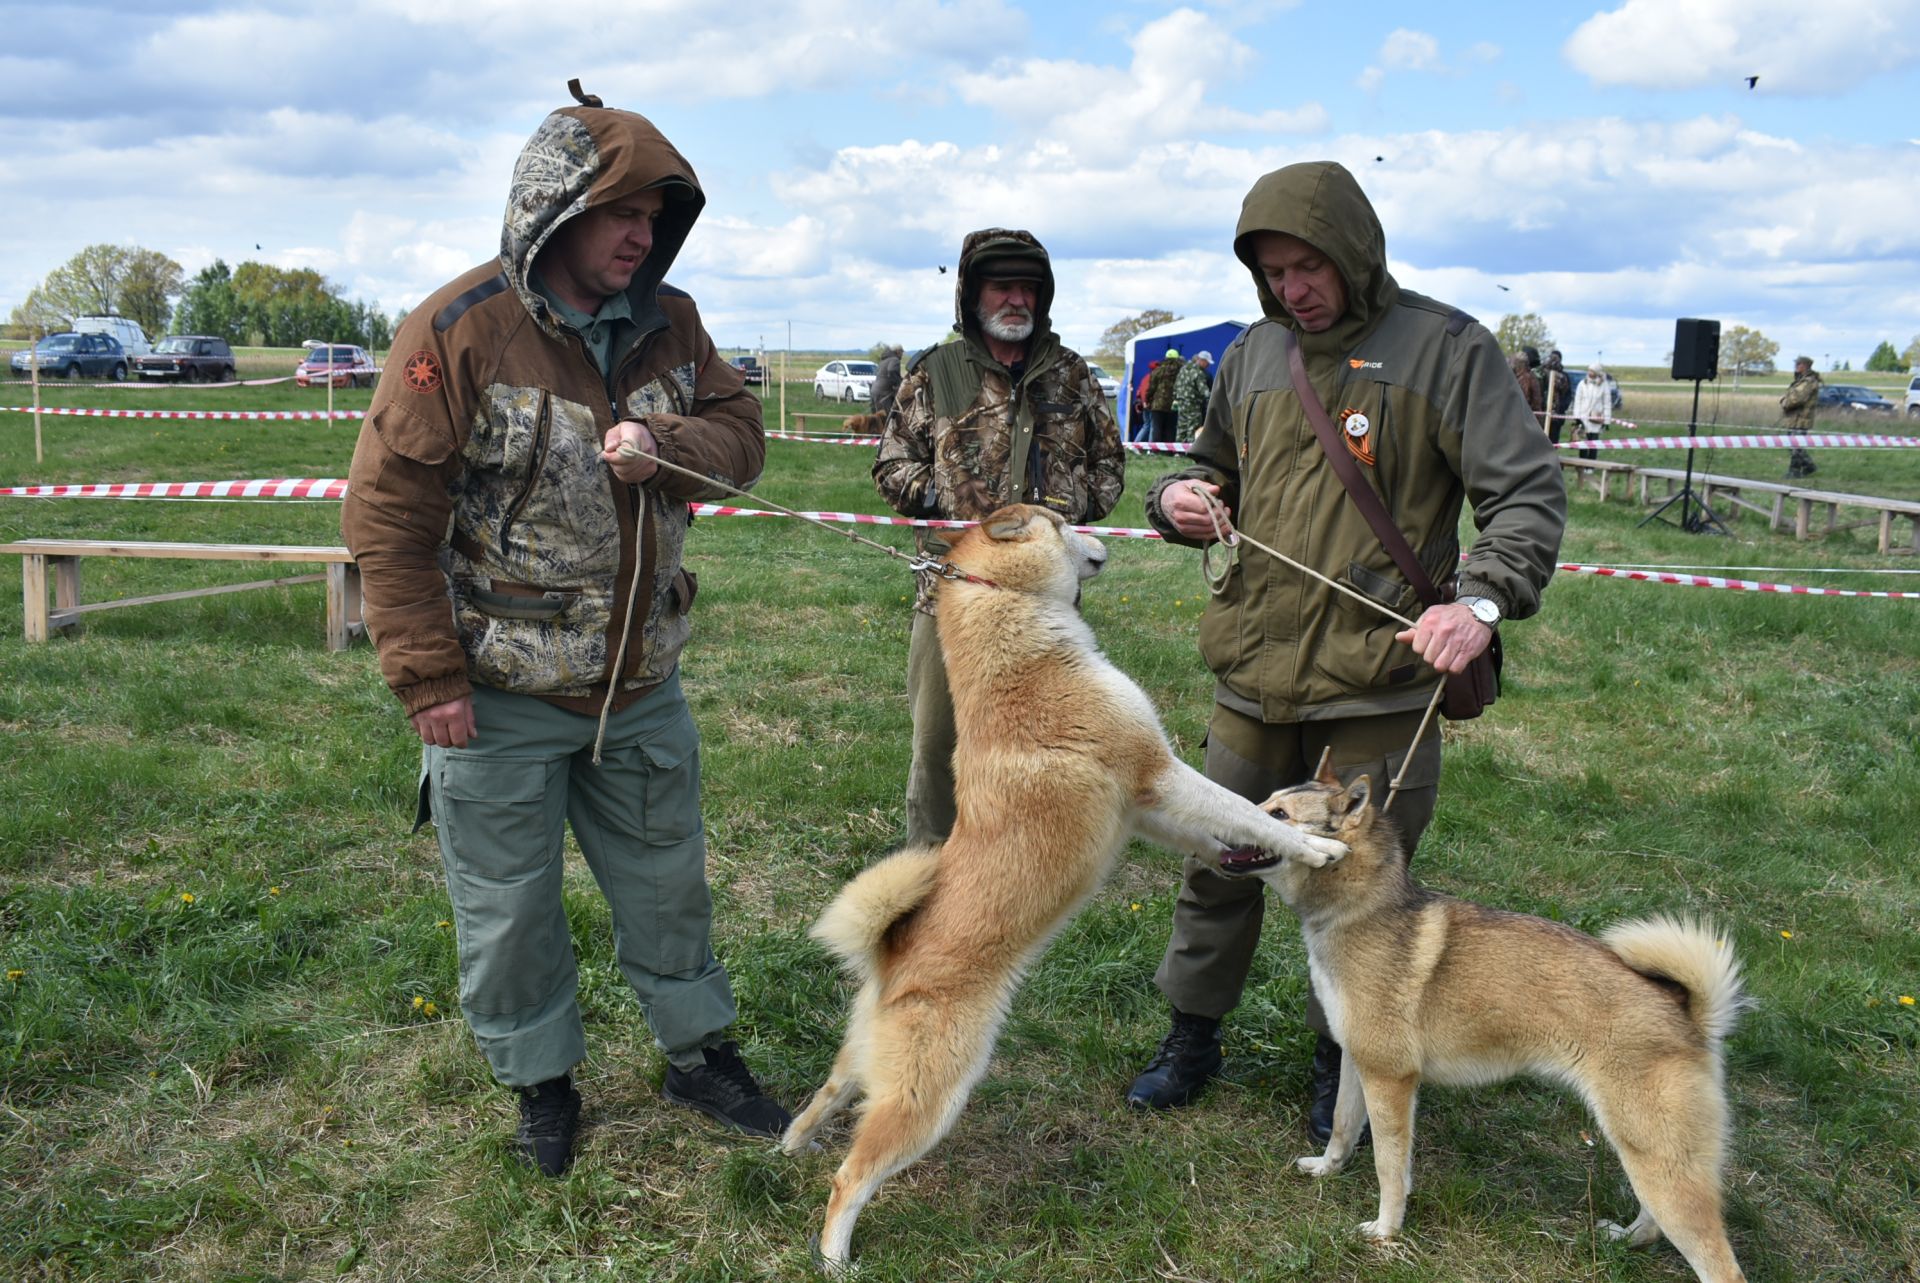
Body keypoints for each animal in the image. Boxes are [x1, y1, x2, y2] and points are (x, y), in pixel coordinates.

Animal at [783, 507, 1351, 1267]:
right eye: (1059, 520)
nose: (1099, 530)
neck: (1022, 647)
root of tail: (891, 953)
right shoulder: (1159, 772)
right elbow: (1240, 807)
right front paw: (1314, 845)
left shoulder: (1145, 805)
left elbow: (1219, 829)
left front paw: (1252, 857)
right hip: (932, 1093)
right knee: (852, 1176)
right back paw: (835, 1256)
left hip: (865, 1059)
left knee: (828, 1093)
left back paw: (792, 1142)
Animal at [1228, 752, 1758, 1283]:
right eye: (1267, 800)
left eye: (1279, 814)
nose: (1228, 808)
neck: (1360, 911)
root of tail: (1687, 1014)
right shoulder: (1359, 1064)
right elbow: (1341, 1125)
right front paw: (1327, 1170)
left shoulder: (1391, 1080)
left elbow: (1389, 1165)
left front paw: (1386, 1231)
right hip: (1646, 1153)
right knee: (1652, 1221)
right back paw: (1625, 1240)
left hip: (1659, 1161)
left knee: (1718, 1264)